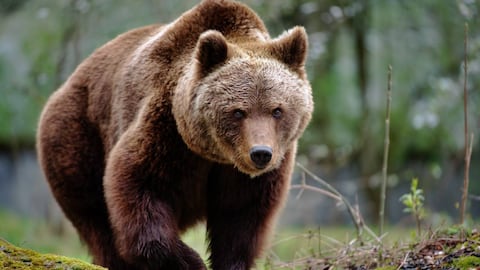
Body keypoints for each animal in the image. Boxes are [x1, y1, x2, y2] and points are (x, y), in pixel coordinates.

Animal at [35, 1, 314, 268]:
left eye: (277, 110)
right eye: (238, 112)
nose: (260, 154)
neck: (214, 155)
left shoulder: (253, 173)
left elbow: (241, 217)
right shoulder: (166, 131)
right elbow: (140, 187)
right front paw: (191, 261)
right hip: (77, 136)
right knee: (94, 214)